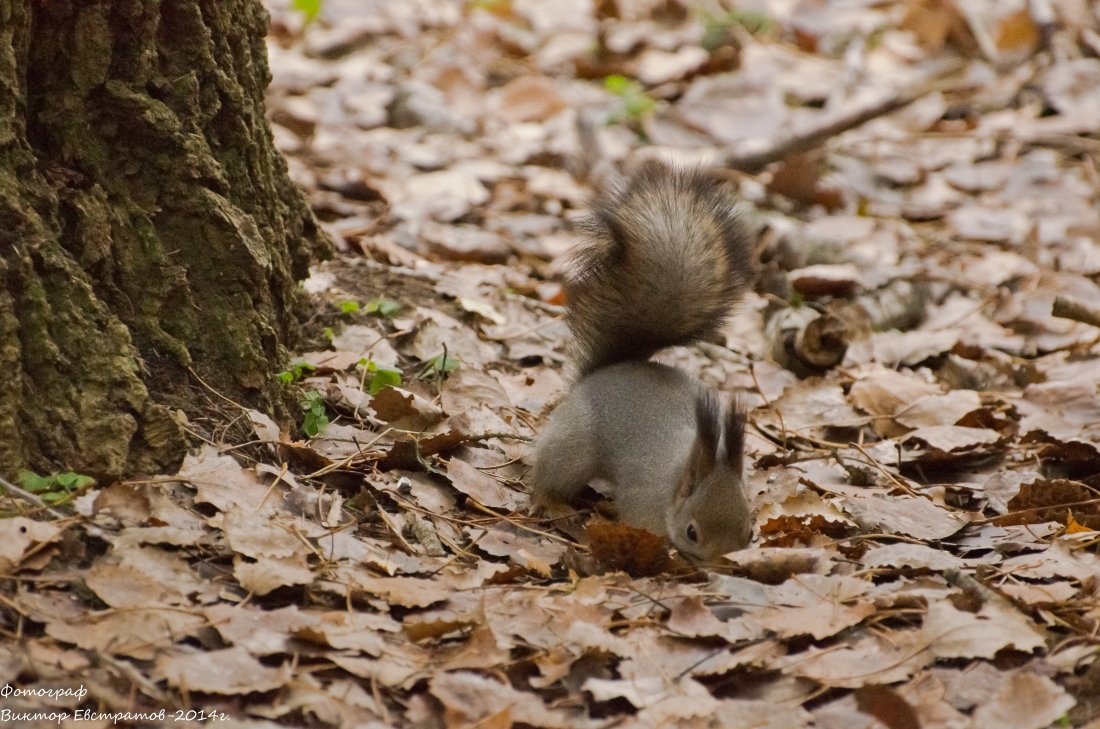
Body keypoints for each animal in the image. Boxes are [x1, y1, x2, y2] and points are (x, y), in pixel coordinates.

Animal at [530, 161, 756, 562]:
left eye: (750, 532)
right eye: (692, 532)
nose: (724, 565)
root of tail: (604, 372)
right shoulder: (643, 501)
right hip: (573, 445)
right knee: (548, 475)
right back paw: (552, 502)